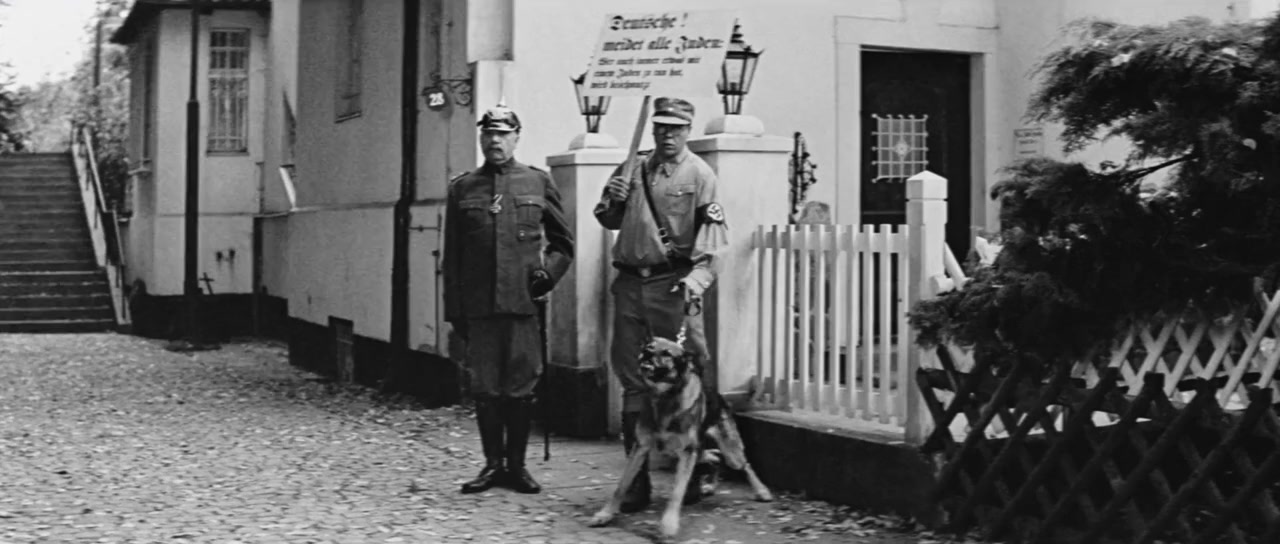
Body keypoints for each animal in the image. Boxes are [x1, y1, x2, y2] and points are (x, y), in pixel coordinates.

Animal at [588, 336, 773, 539]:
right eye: (650, 346)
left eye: (667, 353)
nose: (647, 352)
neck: (664, 397)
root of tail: (718, 394)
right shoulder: (641, 448)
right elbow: (621, 485)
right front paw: (605, 514)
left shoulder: (687, 452)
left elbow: (677, 492)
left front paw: (669, 524)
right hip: (691, 453)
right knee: (715, 457)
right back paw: (710, 485)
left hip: (726, 452)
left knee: (744, 464)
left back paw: (762, 490)